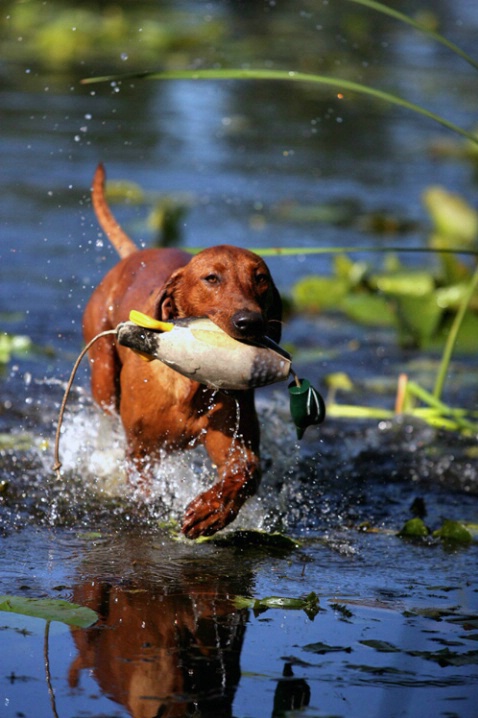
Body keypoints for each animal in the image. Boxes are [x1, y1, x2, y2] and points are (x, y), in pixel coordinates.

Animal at [83, 167, 282, 540]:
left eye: (261, 278)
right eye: (211, 278)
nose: (250, 322)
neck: (193, 384)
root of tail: (132, 256)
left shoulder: (234, 438)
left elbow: (244, 472)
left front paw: (211, 511)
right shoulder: (142, 452)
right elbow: (141, 488)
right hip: (102, 375)